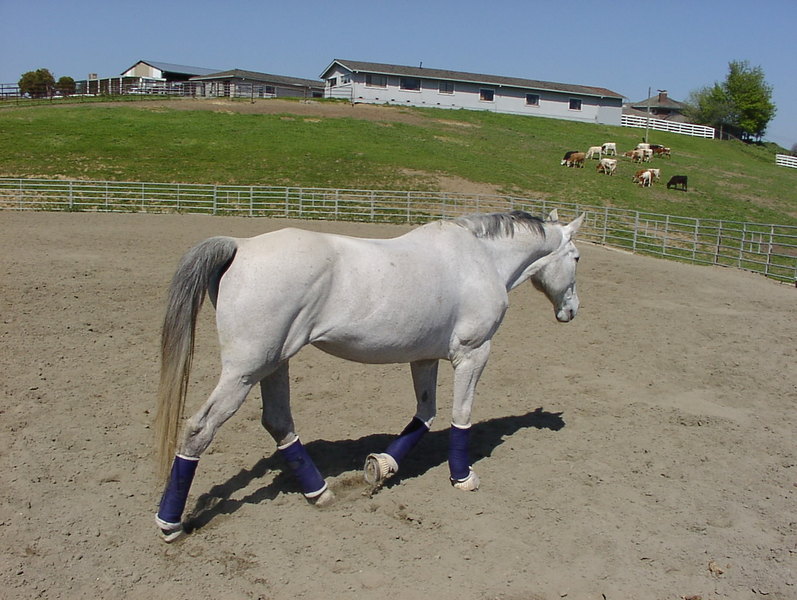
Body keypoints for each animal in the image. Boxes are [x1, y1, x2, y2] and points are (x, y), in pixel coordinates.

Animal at [154, 209, 585, 541]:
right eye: (577, 258)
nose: (572, 311)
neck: (480, 258)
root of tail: (240, 245)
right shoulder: (472, 354)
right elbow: (460, 417)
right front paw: (463, 477)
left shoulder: (424, 358)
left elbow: (424, 416)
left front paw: (381, 466)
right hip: (244, 372)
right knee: (200, 428)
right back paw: (170, 524)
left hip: (274, 363)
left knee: (278, 422)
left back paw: (320, 493)